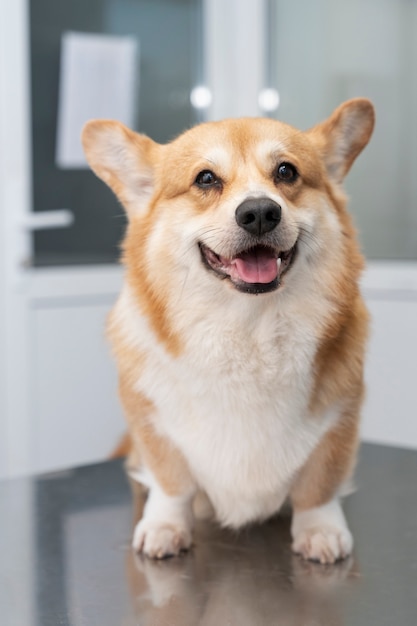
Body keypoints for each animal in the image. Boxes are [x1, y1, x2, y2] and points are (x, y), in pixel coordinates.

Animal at [81, 97, 374, 560]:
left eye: (286, 172)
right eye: (205, 178)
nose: (260, 212)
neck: (247, 327)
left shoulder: (340, 418)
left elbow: (319, 486)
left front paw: (320, 531)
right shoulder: (151, 423)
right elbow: (172, 484)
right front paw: (165, 526)